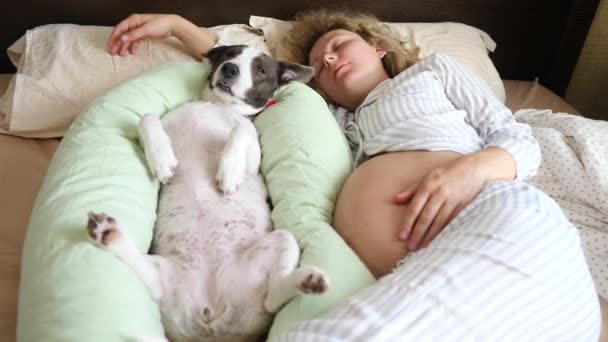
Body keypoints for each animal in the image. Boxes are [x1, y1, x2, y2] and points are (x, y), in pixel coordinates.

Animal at [86, 46, 330, 342]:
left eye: (260, 69)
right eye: (229, 54)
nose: (230, 69)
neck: (217, 106)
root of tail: (210, 319)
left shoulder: (253, 159)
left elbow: (242, 128)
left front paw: (229, 170)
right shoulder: (161, 122)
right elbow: (147, 118)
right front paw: (161, 160)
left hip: (280, 247)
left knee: (273, 297)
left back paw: (307, 281)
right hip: (164, 278)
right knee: (148, 276)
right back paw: (109, 235)